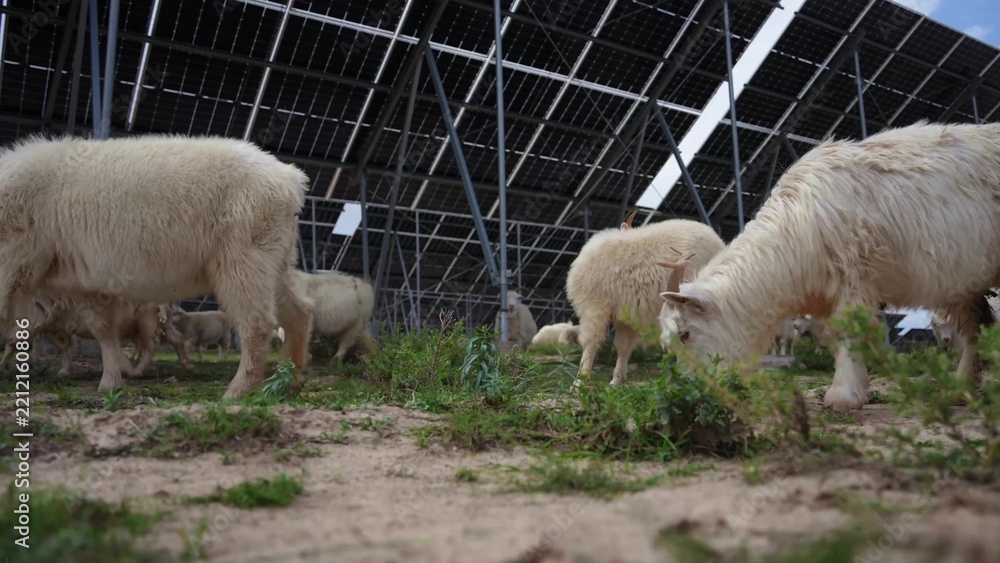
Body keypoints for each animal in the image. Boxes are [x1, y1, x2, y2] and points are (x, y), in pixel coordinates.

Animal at [0, 134, 314, 398]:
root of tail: (290, 179)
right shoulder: (87, 282)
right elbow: (103, 331)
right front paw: (112, 380)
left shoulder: (12, 264)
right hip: (274, 258)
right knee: (299, 311)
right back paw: (289, 378)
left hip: (244, 259)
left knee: (258, 323)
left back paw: (239, 390)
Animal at [567, 211, 726, 385]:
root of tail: (719, 245)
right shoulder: (625, 315)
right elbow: (623, 346)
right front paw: (617, 380)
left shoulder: (594, 305)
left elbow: (590, 342)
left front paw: (580, 381)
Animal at [659, 121, 1000, 411]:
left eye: (685, 334)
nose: (695, 393)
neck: (796, 226)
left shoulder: (853, 275)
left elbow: (850, 330)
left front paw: (844, 394)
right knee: (976, 327)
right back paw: (961, 390)